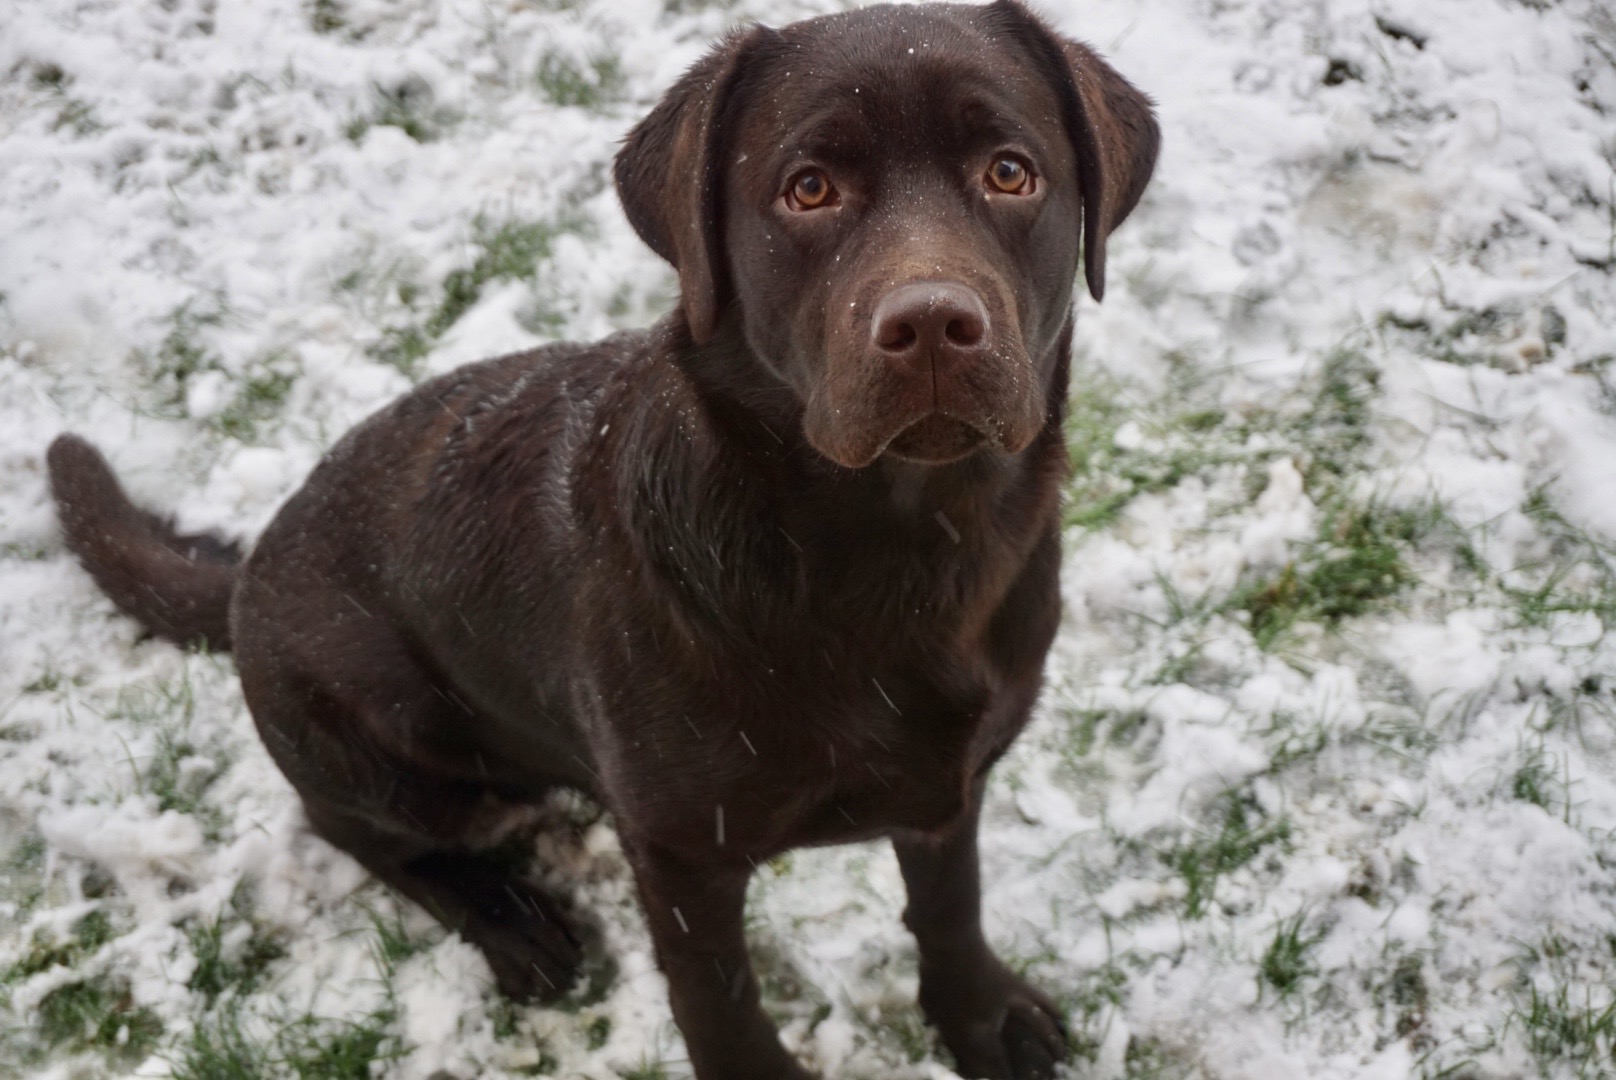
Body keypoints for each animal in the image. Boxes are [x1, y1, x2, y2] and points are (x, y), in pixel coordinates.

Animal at [44, 4, 1157, 1073]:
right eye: (807, 189)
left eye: (1008, 172)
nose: (929, 324)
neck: (903, 545)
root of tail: (248, 569)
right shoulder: (679, 853)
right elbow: (718, 1003)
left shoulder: (951, 780)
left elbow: (949, 902)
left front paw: (979, 1017)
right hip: (400, 747)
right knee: (353, 829)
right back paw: (510, 920)